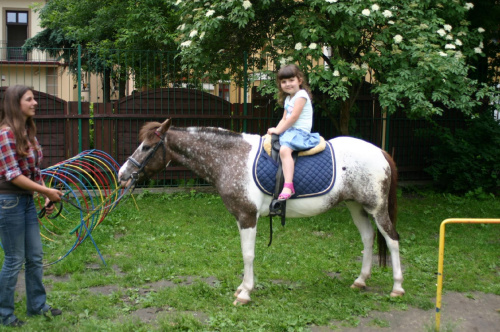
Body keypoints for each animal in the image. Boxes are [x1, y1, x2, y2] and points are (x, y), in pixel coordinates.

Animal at [119, 118, 404, 304]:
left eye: (146, 147)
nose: (122, 175)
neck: (231, 158)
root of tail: (380, 151)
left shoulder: (247, 217)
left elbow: (248, 255)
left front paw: (245, 292)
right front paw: (243, 288)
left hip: (377, 208)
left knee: (392, 240)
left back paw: (397, 287)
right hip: (356, 206)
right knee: (368, 238)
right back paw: (360, 280)